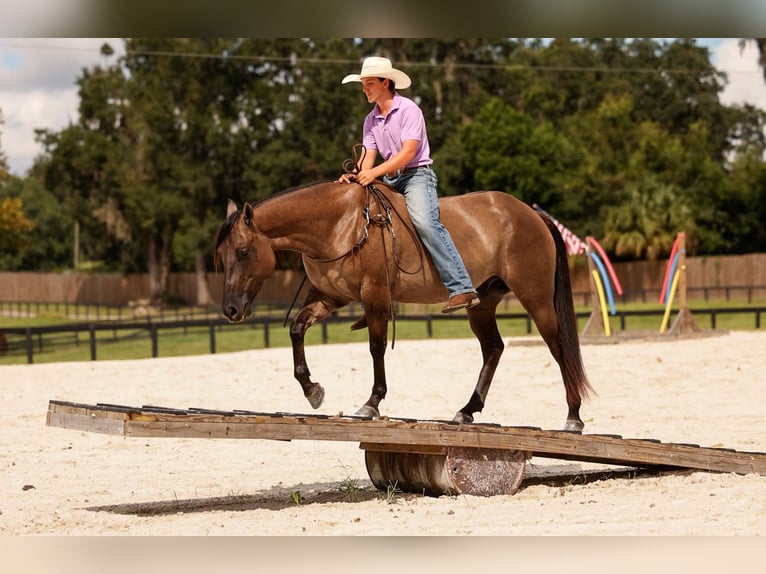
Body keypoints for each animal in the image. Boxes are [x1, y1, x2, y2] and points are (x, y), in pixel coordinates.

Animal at [214, 180, 594, 432]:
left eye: (243, 251)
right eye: (222, 255)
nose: (231, 310)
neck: (339, 225)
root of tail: (529, 213)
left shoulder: (376, 296)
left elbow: (376, 346)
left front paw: (371, 403)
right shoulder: (328, 297)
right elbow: (296, 329)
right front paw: (312, 390)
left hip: (537, 299)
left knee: (559, 348)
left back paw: (573, 417)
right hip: (482, 304)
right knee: (493, 349)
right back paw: (467, 410)